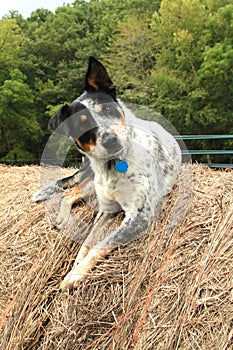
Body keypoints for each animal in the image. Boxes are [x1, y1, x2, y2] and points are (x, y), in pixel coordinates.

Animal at [33, 57, 182, 292]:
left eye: (106, 108)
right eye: (82, 124)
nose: (111, 140)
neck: (115, 164)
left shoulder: (140, 216)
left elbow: (101, 244)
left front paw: (75, 275)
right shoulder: (106, 210)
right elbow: (87, 243)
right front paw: (75, 267)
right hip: (91, 185)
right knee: (69, 194)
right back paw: (61, 218)